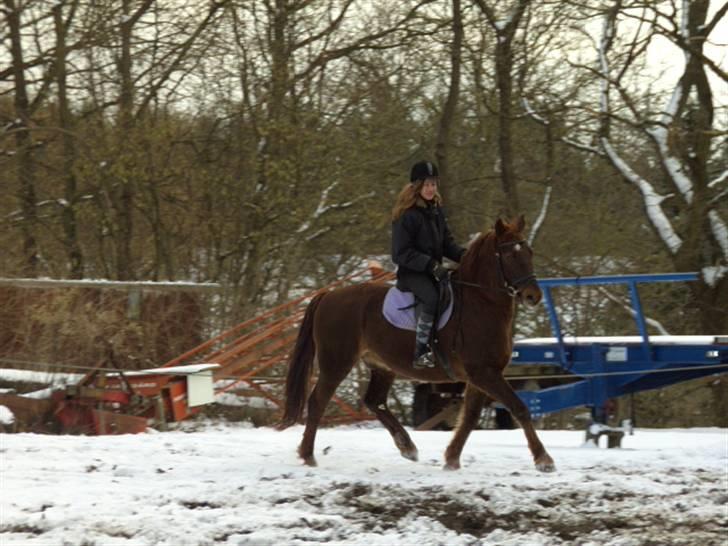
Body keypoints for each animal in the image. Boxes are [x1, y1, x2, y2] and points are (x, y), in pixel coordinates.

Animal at [282, 215, 556, 470]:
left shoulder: (482, 376)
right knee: (318, 401)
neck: (480, 303)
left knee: (374, 401)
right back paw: (308, 455)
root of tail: (328, 295)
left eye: (529, 252)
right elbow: (519, 408)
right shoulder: (484, 373)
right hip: (336, 363)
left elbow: (469, 417)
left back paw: (407, 446)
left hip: (382, 366)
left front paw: (452, 459)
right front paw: (544, 459)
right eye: (509, 255)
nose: (533, 296)